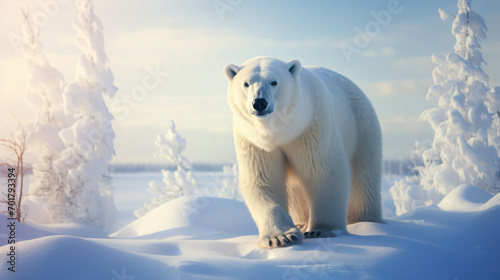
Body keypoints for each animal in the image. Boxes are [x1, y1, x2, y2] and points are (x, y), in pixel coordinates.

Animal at [223, 56, 382, 247]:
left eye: (274, 82)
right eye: (246, 83)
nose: (259, 102)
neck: (279, 133)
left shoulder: (311, 129)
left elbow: (324, 171)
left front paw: (321, 230)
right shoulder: (254, 143)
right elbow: (263, 180)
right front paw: (281, 237)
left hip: (362, 127)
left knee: (363, 181)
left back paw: (365, 221)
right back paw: (301, 223)